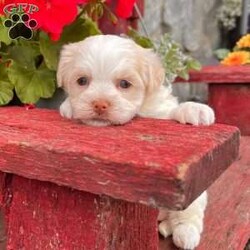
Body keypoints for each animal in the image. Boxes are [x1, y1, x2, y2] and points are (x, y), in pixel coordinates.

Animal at [57, 35, 215, 250]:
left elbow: (172, 112)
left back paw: (185, 232)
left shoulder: (159, 112)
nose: (99, 104)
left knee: (188, 212)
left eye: (125, 84)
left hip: (193, 197)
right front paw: (68, 107)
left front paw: (194, 109)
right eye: (82, 81)